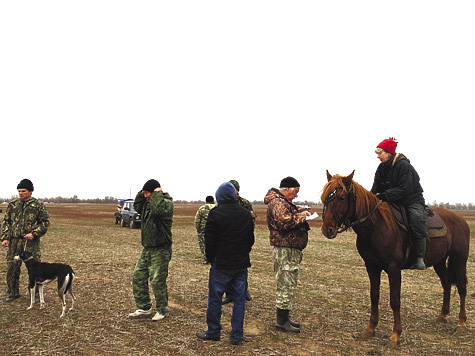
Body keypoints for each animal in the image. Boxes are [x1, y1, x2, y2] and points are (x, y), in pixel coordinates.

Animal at [322, 171, 470, 344]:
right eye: (325, 198)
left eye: (342, 198)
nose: (327, 229)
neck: (376, 226)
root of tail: (460, 219)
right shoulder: (371, 267)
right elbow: (374, 296)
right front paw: (370, 328)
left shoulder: (393, 268)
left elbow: (395, 300)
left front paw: (395, 334)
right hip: (439, 261)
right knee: (446, 284)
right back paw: (442, 315)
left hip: (460, 259)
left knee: (461, 287)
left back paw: (462, 322)